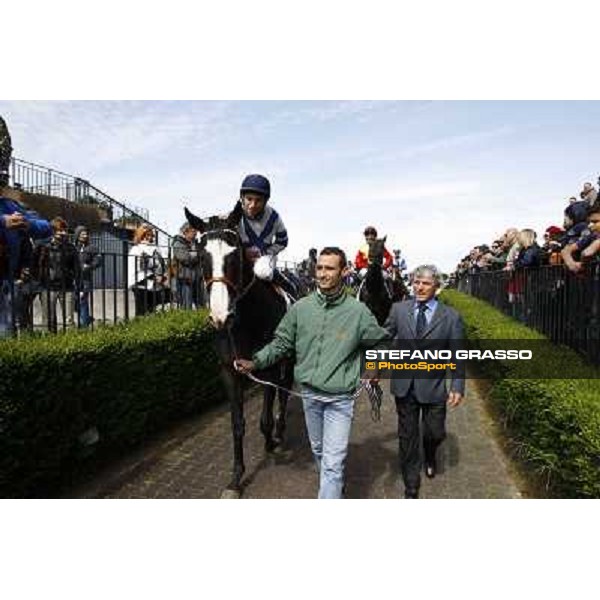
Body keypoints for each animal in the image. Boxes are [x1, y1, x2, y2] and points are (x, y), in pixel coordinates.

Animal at [184, 202, 294, 496]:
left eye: (234, 256)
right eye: (202, 258)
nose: (221, 316)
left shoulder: (268, 367)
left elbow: (264, 418)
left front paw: (270, 442)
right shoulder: (229, 371)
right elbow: (237, 425)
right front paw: (236, 477)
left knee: (285, 390)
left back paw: (280, 430)